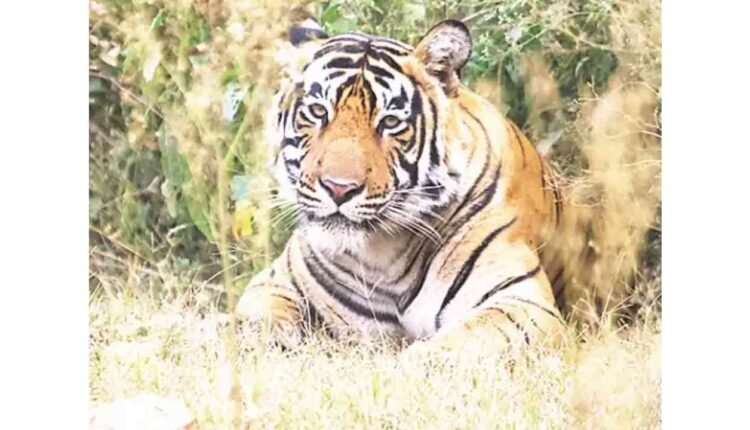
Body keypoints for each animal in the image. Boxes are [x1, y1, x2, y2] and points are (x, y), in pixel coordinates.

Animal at [235, 19, 576, 356]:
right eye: (319, 112)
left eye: (389, 123)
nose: (338, 189)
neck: (383, 256)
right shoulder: (273, 283)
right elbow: (258, 325)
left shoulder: (523, 303)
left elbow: (450, 348)